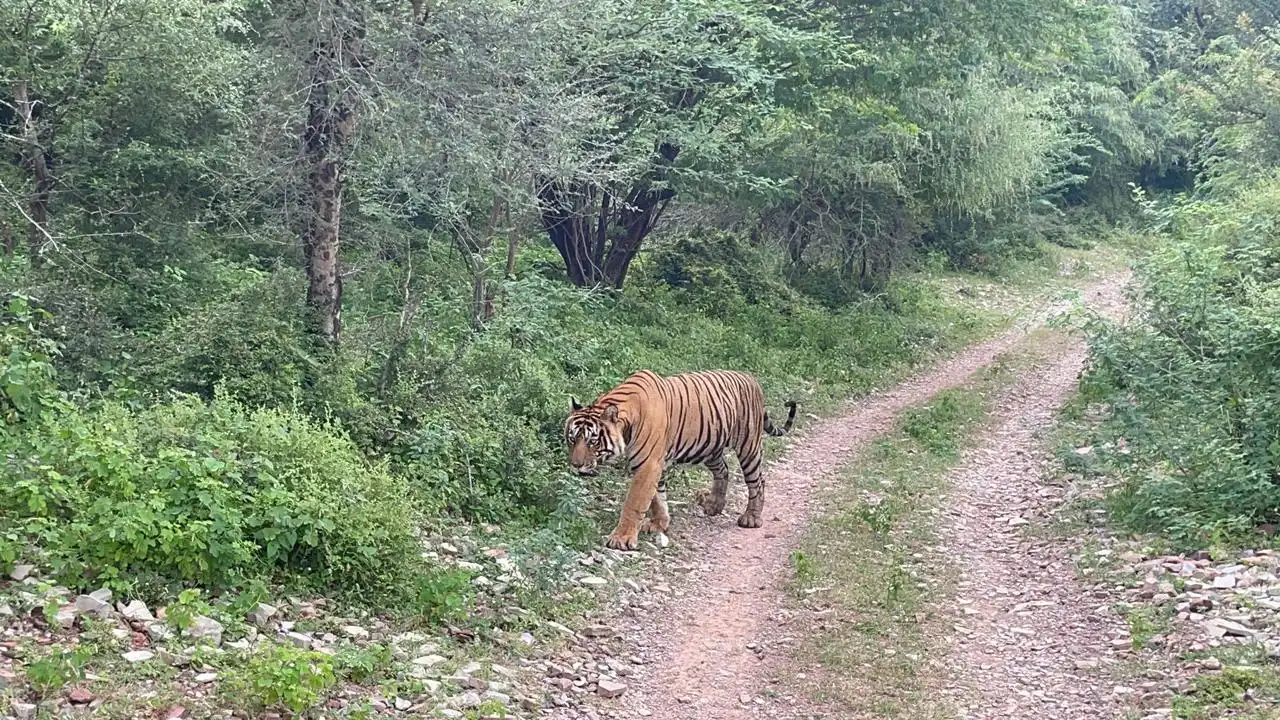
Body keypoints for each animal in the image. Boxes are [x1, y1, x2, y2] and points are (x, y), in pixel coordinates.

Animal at [564, 369, 797, 551]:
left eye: (592, 441)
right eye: (572, 439)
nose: (576, 465)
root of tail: (751, 378)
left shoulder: (648, 464)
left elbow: (635, 502)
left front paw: (621, 538)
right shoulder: (653, 464)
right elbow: (657, 498)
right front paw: (659, 524)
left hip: (748, 446)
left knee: (757, 481)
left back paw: (751, 518)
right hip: (709, 447)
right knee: (723, 470)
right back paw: (714, 506)